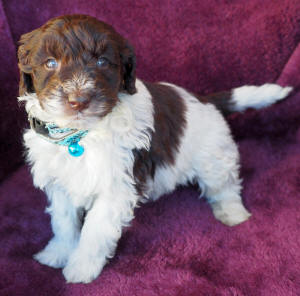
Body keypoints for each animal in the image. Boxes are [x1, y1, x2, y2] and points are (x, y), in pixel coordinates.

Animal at [17, 15, 292, 284]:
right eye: (50, 63)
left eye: (102, 62)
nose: (78, 101)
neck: (82, 135)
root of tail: (204, 99)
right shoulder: (60, 180)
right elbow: (63, 221)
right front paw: (59, 252)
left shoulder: (117, 185)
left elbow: (95, 230)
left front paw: (81, 267)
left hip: (213, 154)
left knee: (223, 185)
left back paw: (233, 213)